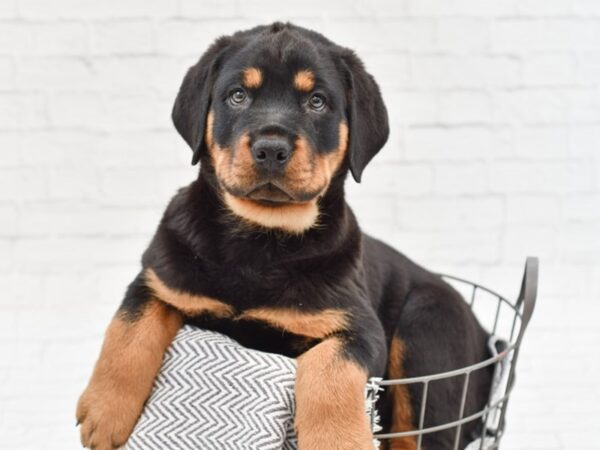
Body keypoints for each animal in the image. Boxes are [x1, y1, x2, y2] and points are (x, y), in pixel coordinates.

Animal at [76, 22, 492, 450]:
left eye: (317, 102)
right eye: (238, 95)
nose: (271, 148)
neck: (262, 239)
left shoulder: (358, 327)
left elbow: (329, 368)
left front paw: (338, 441)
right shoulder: (160, 278)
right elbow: (130, 325)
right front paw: (104, 410)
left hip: (428, 325)